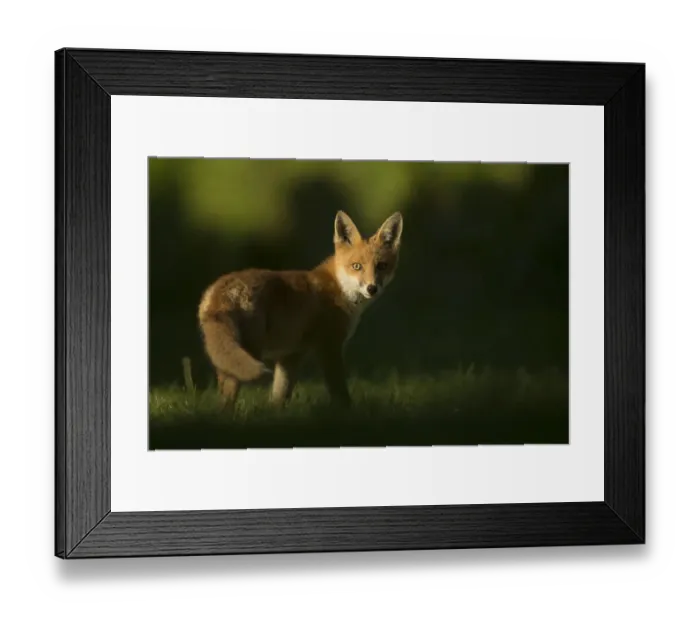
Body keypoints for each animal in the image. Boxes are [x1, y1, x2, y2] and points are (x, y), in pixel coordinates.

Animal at [197, 210, 403, 410]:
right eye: (357, 266)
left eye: (381, 266)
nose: (372, 288)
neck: (339, 287)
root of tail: (218, 290)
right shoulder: (328, 347)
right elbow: (339, 391)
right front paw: (347, 411)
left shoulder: (291, 354)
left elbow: (280, 394)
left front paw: (275, 413)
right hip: (250, 350)